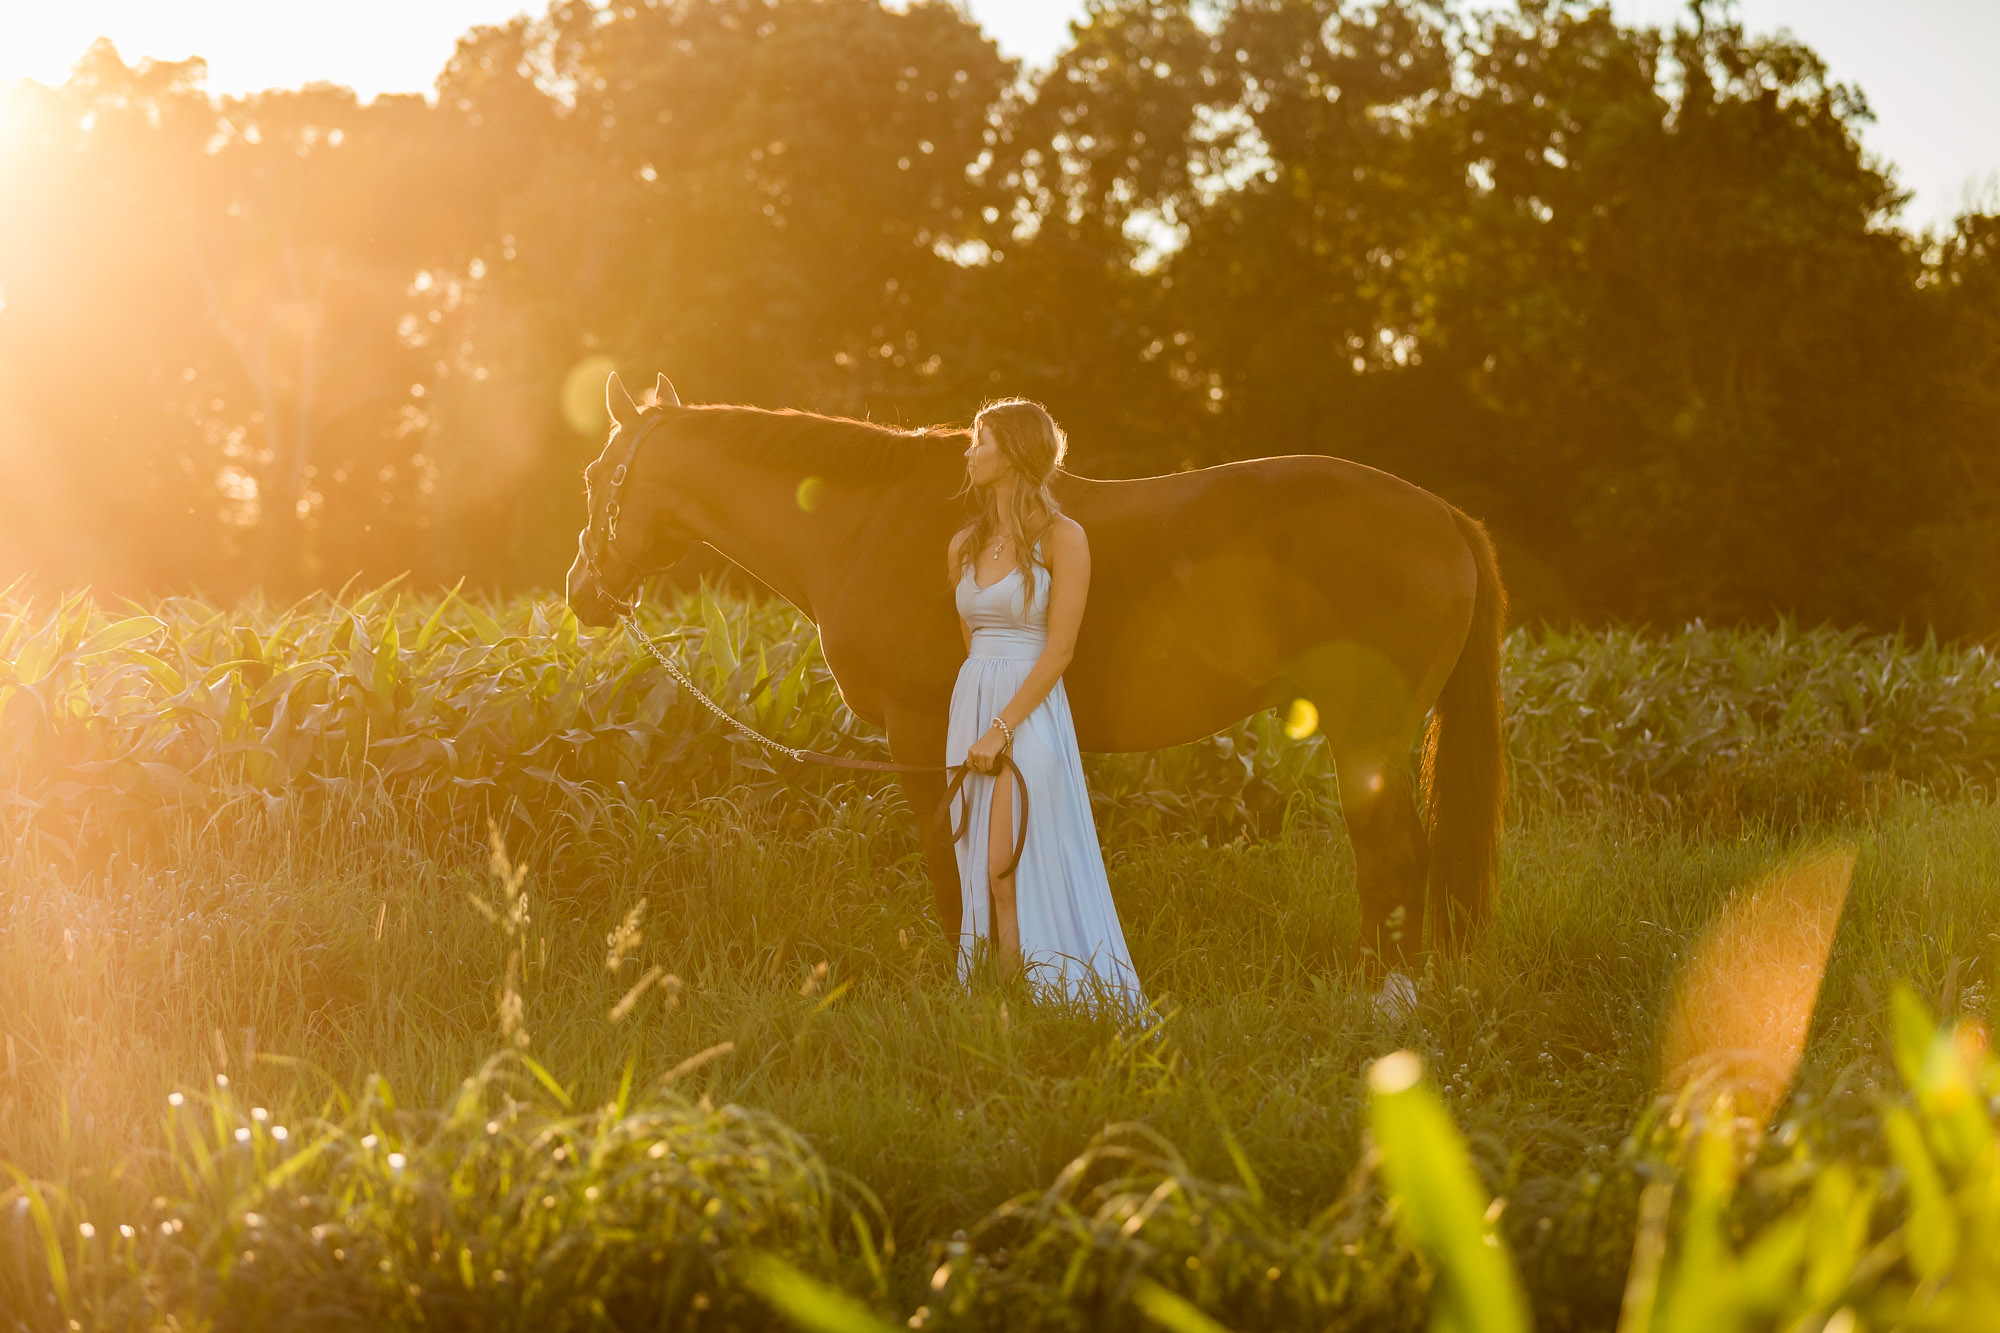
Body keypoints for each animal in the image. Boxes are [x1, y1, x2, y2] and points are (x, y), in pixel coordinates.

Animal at [568, 370, 1504, 964]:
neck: (866, 524)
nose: (582, 592)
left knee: (1393, 861)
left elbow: (948, 863)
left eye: (593, 473)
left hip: (1366, 738)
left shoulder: (925, 732)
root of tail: (1445, 515)